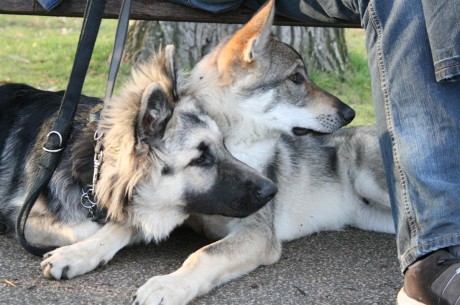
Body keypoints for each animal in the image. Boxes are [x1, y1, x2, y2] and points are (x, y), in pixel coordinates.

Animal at [0, 45, 276, 284]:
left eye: (224, 144)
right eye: (200, 159)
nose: (272, 190)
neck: (93, 170)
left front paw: (79, 254)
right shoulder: (20, 216)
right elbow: (94, 227)